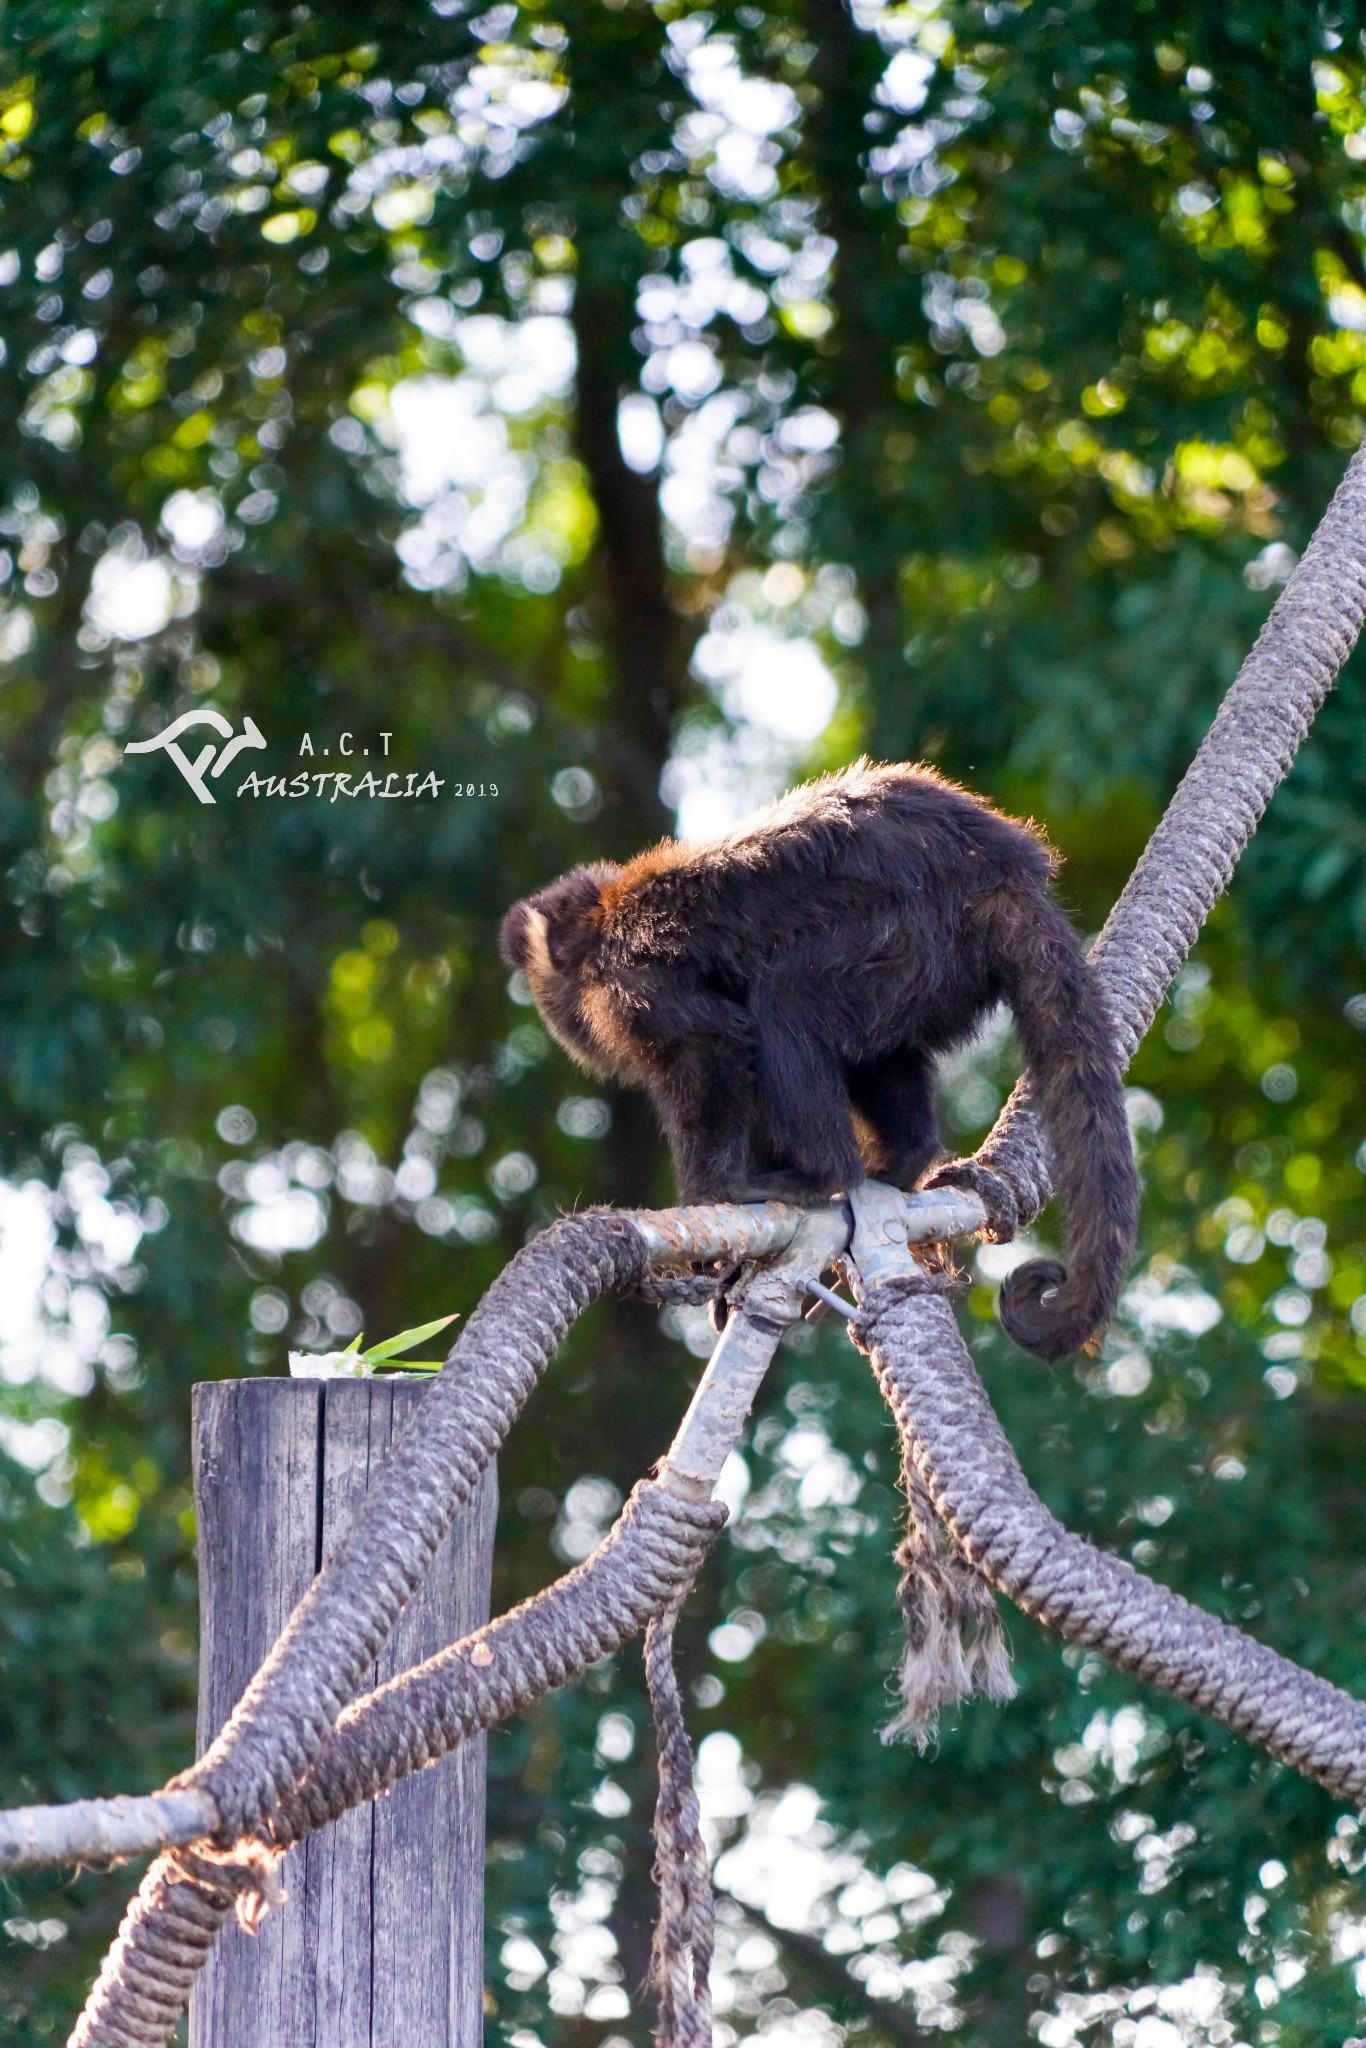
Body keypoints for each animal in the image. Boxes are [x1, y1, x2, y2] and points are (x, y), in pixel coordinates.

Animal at [497, 753, 1138, 1359]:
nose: (552, 1011)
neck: (602, 924)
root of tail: (1003, 872)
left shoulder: (626, 977)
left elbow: (715, 1041)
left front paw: (712, 1193)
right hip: (933, 970)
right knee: (881, 1050)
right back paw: (903, 1159)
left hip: (911, 934)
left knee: (787, 1003)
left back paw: (821, 1172)